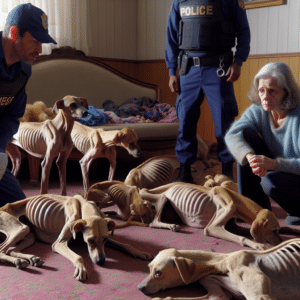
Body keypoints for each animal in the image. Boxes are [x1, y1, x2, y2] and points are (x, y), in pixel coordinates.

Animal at [0, 193, 154, 280]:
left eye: (105, 239)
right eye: (90, 240)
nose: (101, 262)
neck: (84, 206)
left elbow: (126, 244)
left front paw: (140, 252)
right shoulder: (59, 243)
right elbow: (79, 256)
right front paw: (81, 268)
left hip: (29, 236)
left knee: (11, 250)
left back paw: (30, 258)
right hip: (20, 228)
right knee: (2, 250)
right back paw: (17, 262)